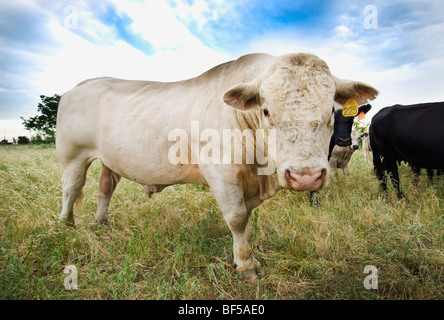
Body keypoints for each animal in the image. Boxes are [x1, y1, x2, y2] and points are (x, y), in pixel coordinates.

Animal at [56, 53, 378, 282]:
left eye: (331, 112)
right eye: (266, 111)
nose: (306, 177)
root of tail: (82, 84)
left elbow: (247, 221)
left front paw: (246, 252)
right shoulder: (222, 175)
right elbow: (237, 219)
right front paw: (246, 265)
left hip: (109, 160)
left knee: (105, 187)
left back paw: (101, 223)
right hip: (73, 156)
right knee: (71, 188)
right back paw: (67, 224)